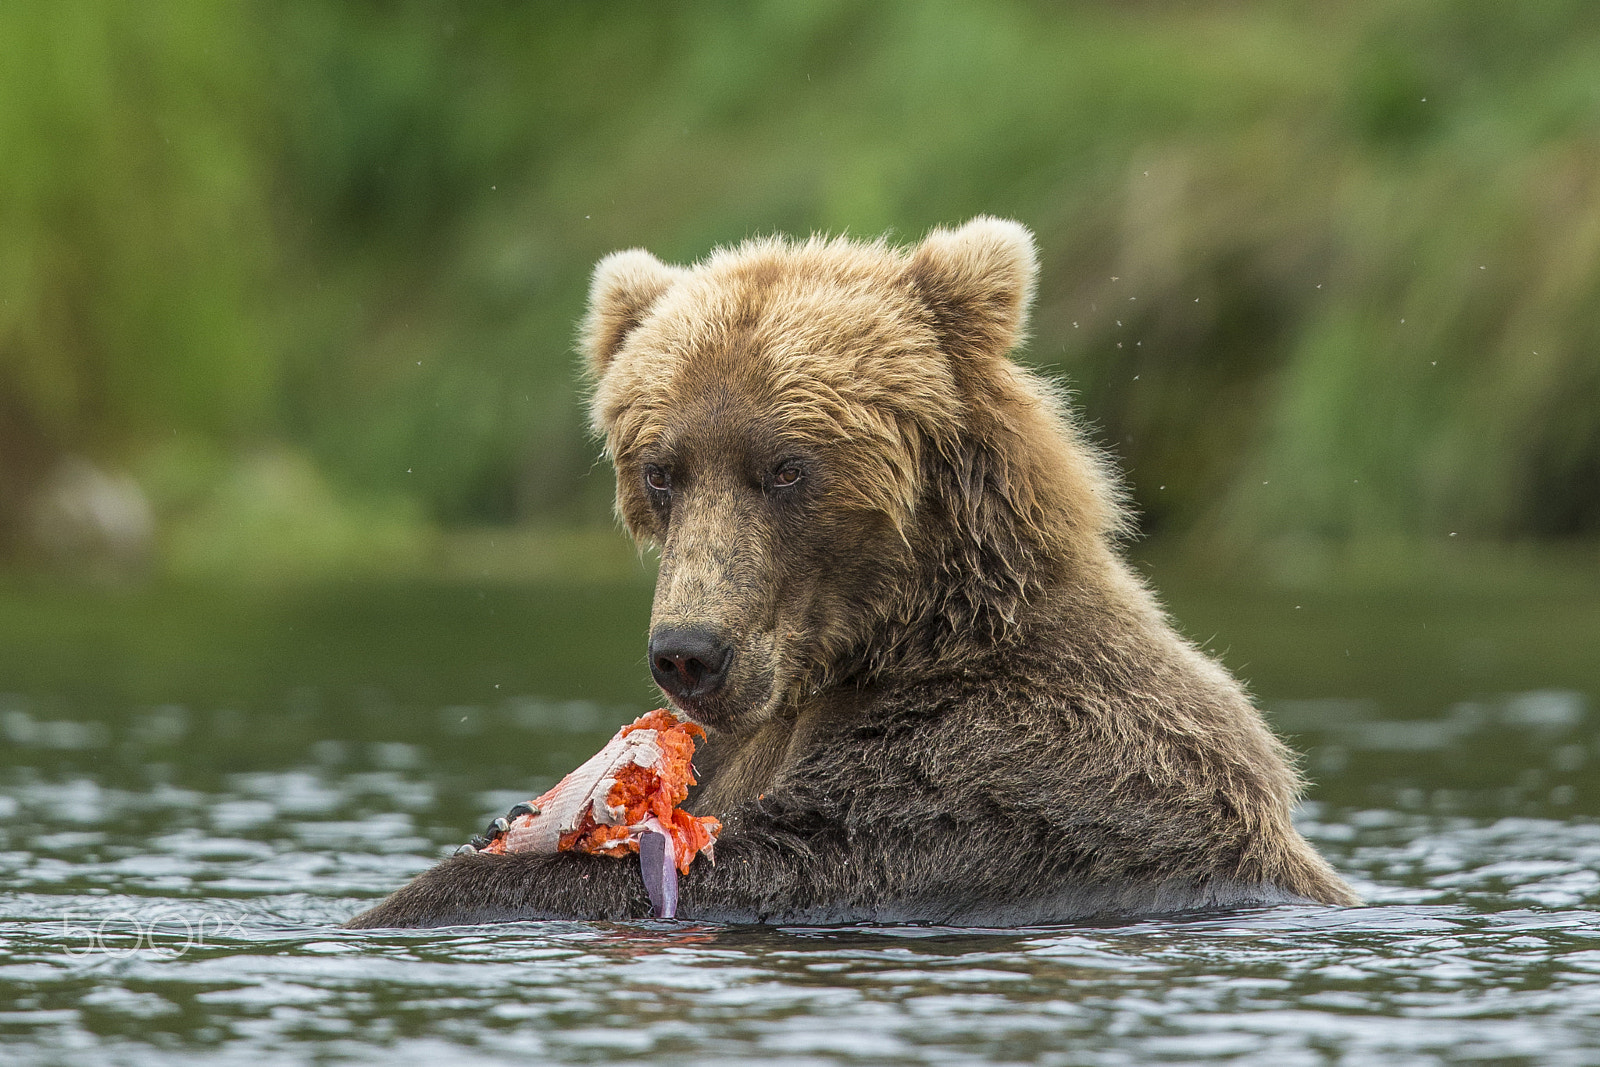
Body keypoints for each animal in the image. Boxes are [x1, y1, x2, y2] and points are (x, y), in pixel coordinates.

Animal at [344, 217, 1356, 927]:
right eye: (662, 470)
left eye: (787, 467)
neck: (901, 641)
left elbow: (782, 857)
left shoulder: (1007, 777)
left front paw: (425, 891)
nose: (688, 652)